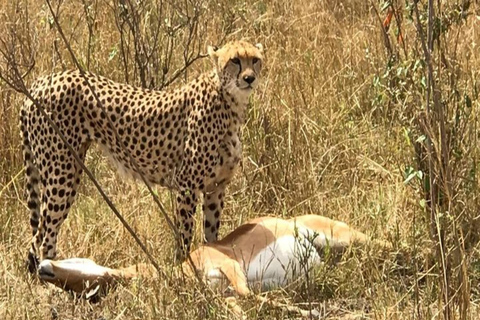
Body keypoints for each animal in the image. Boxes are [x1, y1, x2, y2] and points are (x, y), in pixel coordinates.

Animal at [19, 38, 262, 272]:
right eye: (235, 60)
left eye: (255, 60)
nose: (249, 78)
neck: (229, 101)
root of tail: (42, 81)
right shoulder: (187, 185)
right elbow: (185, 233)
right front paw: (183, 268)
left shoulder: (216, 188)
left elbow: (211, 235)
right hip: (62, 175)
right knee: (43, 238)